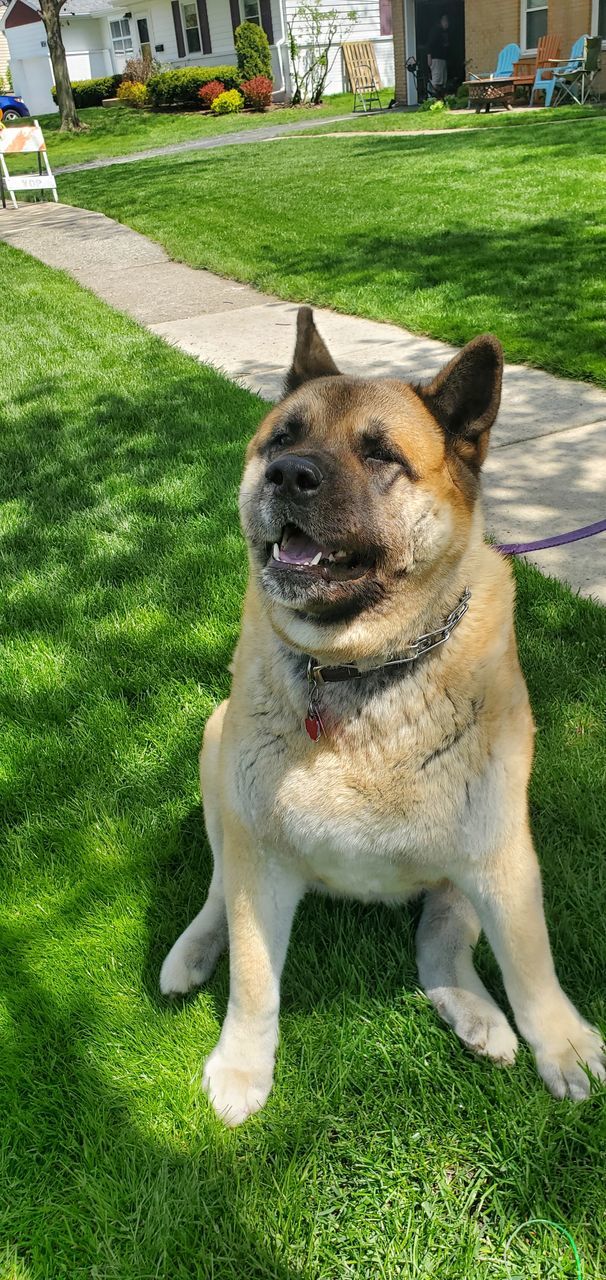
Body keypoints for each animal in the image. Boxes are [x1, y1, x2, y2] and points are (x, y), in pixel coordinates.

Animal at [158, 307, 602, 1121]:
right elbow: (254, 977)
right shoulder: (259, 856)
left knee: (440, 947)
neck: (360, 668)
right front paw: (242, 1063)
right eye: (282, 439)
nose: (289, 475)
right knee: (216, 892)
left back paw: (476, 1012)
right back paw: (194, 950)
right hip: (216, 758)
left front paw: (561, 1042)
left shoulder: (502, 857)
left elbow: (531, 964)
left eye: (380, 454)